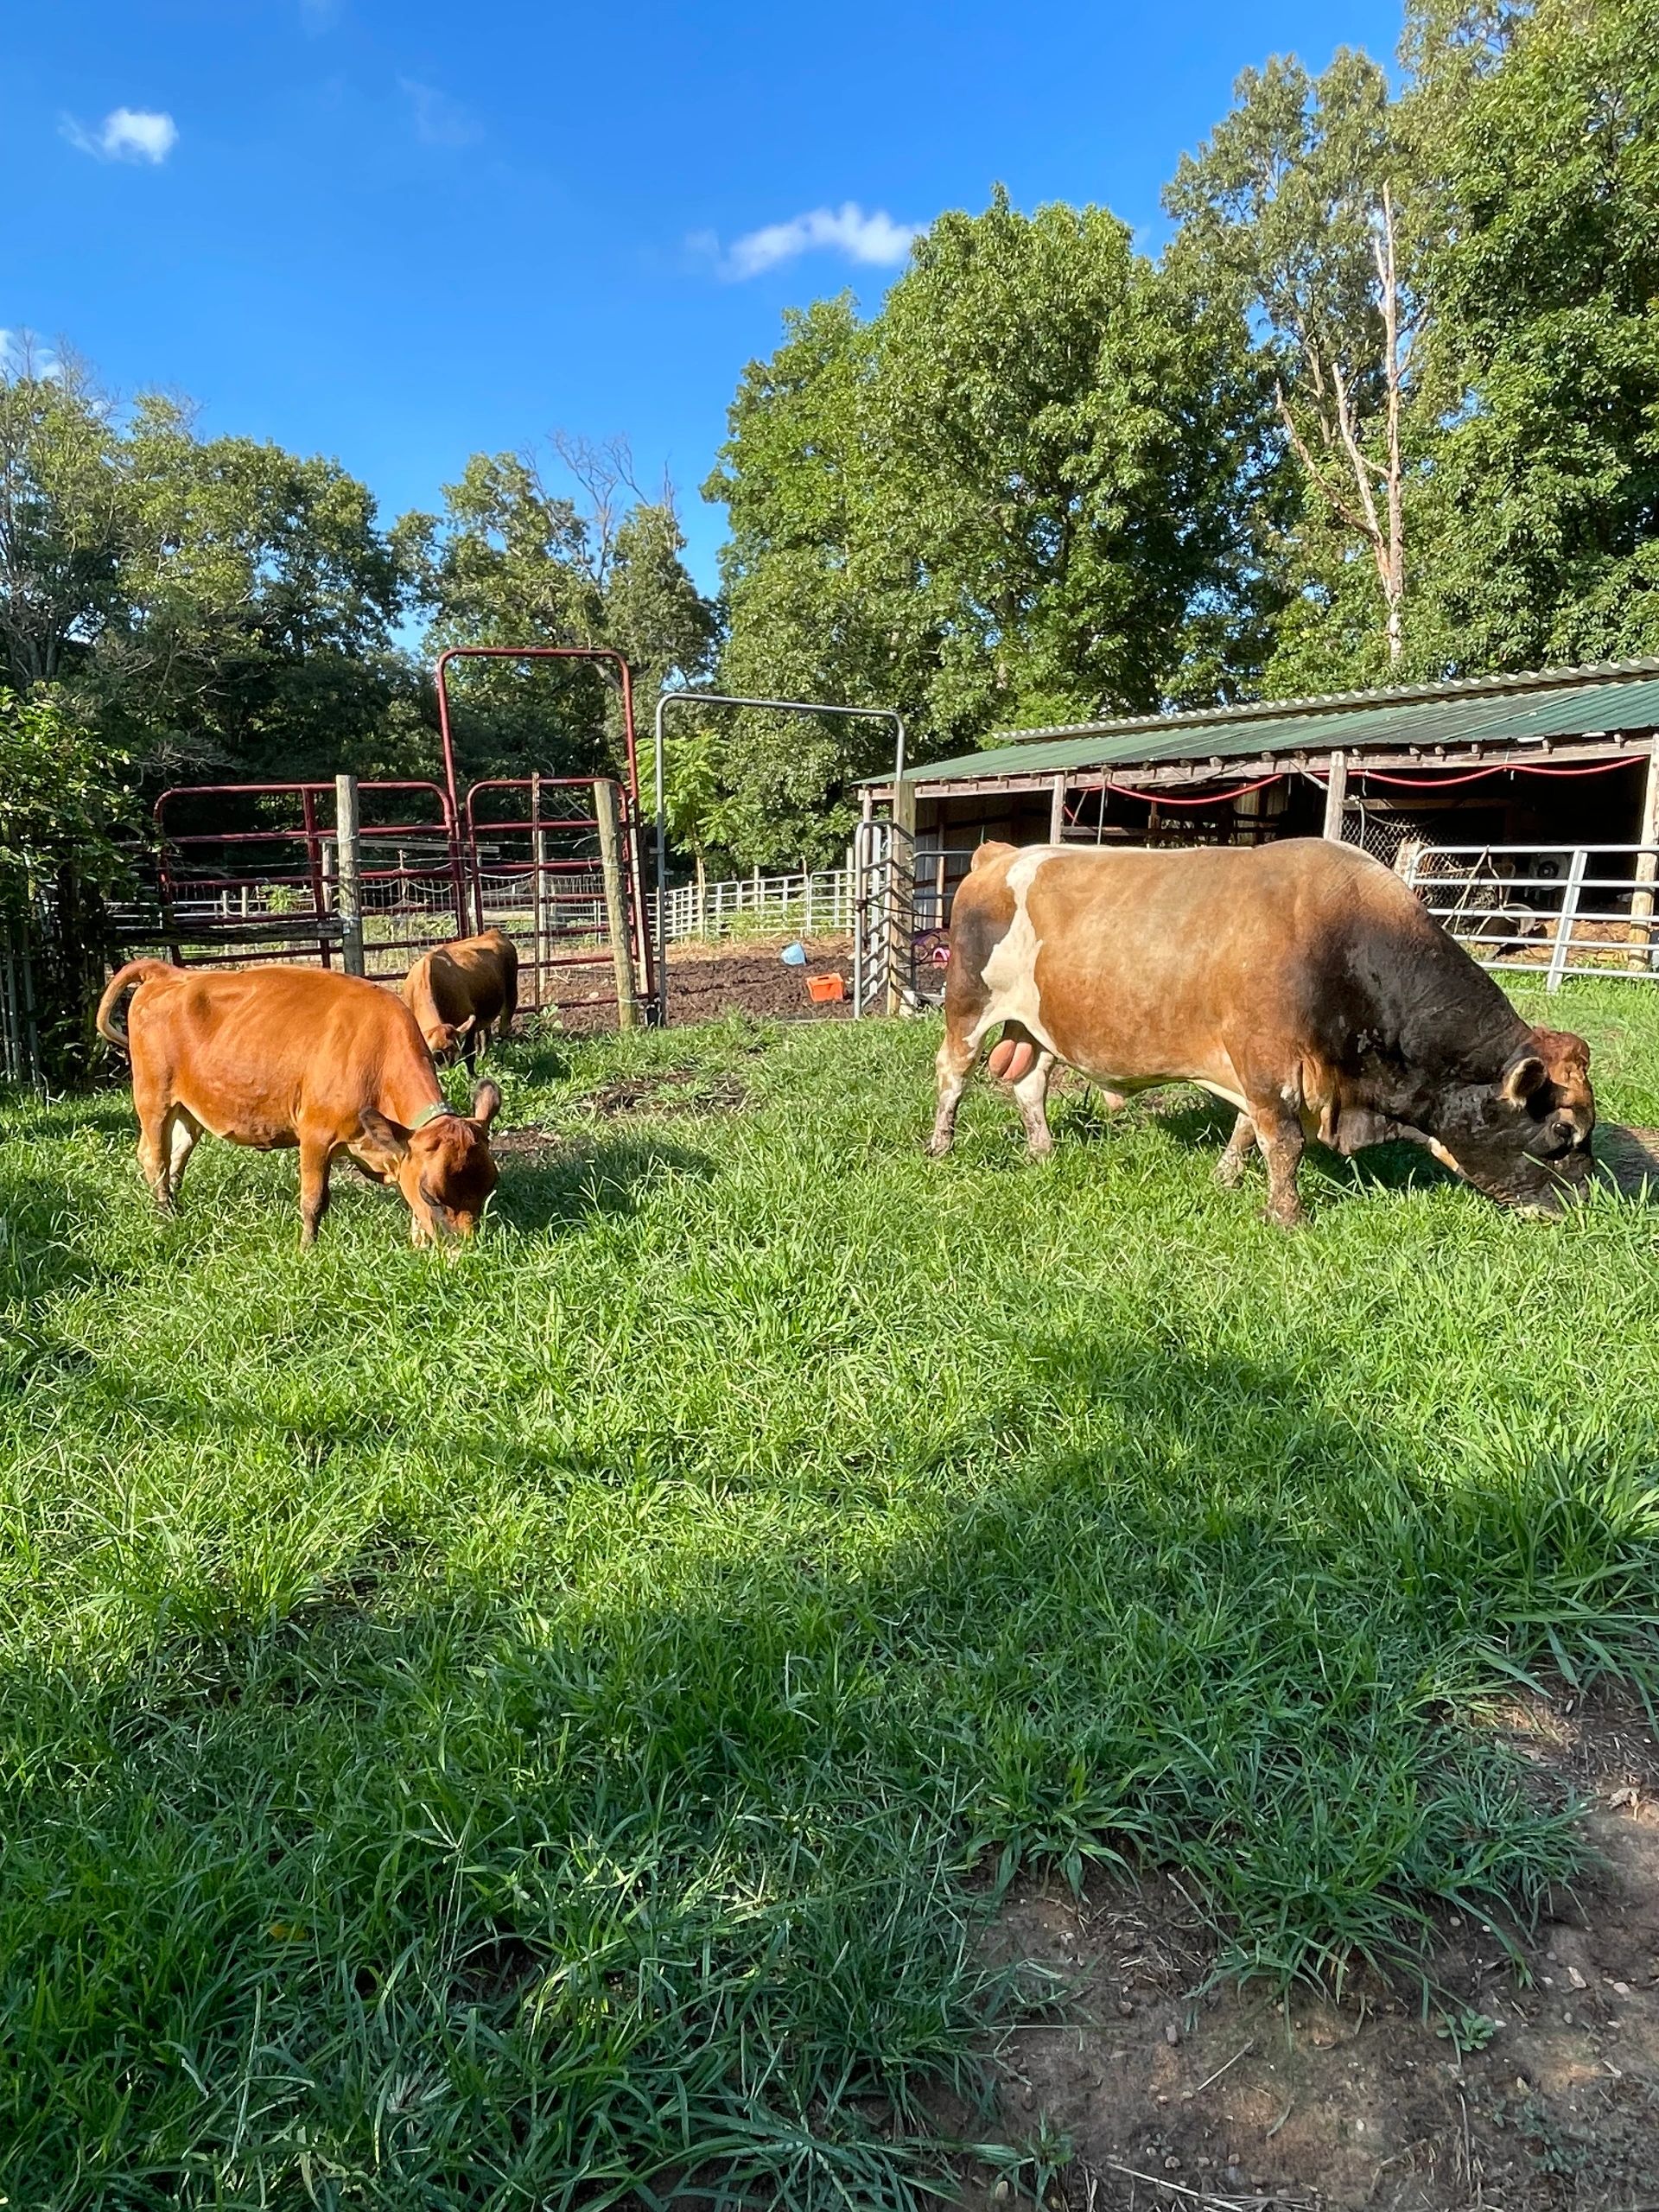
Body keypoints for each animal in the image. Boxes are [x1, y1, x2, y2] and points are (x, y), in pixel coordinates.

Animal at [96, 961, 500, 1246]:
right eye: (432, 1194)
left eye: (488, 1188)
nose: (462, 1253)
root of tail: (167, 973)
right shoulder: (316, 1135)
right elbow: (314, 1200)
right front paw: (307, 1249)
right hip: (153, 1098)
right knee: (155, 1157)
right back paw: (166, 1215)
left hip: (189, 1109)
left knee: (178, 1152)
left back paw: (176, 1204)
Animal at [402, 929, 518, 1072]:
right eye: (434, 1055)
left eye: (454, 1054)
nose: (447, 1073)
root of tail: (494, 932)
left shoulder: (470, 1021)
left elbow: (469, 1055)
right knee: (486, 1035)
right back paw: (485, 1059)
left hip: (512, 995)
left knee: (503, 1031)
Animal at [929, 837, 1596, 1225]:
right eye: (1561, 1133)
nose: (1589, 1203)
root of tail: (1001, 854)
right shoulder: (1266, 1057)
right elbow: (1284, 1142)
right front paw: (1287, 1215)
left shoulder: (1254, 1066)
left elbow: (1249, 1128)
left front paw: (1226, 1179)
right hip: (968, 1004)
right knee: (952, 1074)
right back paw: (940, 1147)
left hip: (1039, 1026)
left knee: (1030, 1085)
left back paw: (1043, 1151)